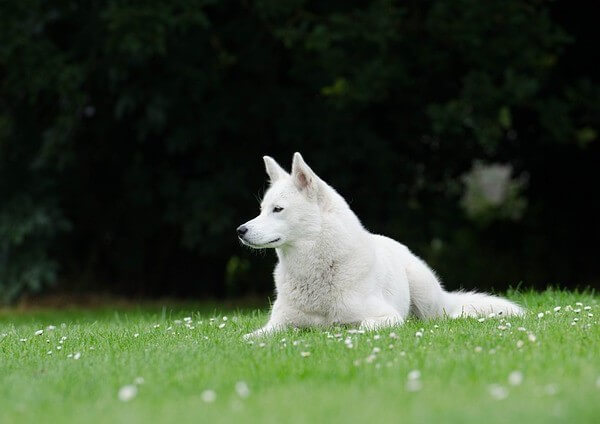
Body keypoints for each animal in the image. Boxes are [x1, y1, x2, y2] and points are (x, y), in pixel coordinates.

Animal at [237, 153, 524, 338]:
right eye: (261, 210)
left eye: (278, 209)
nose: (240, 231)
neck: (317, 269)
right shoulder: (277, 325)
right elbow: (251, 337)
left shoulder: (385, 317)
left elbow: (361, 327)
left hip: (425, 295)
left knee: (444, 314)